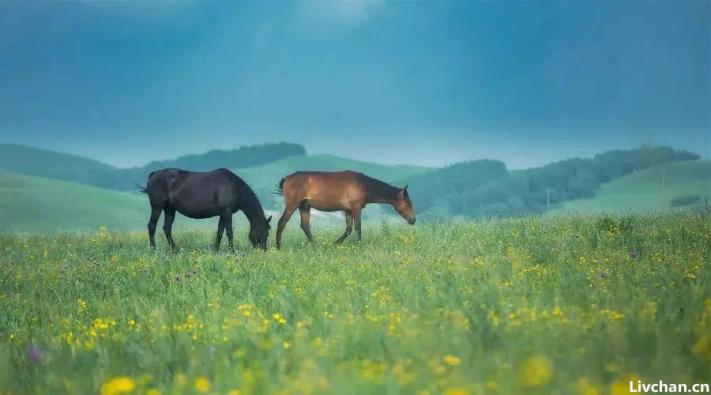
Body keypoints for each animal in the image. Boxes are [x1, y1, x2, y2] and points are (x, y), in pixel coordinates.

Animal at [139, 168, 272, 251]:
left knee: (167, 228)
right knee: (152, 226)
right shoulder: (227, 212)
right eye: (265, 232)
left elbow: (219, 232)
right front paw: (232, 251)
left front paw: (216, 250)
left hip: (170, 209)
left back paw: (174, 249)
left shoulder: (223, 214)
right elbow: (229, 232)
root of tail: (153, 174)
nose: (264, 250)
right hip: (157, 206)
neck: (235, 187)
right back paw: (153, 249)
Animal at [274, 171, 418, 251]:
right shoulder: (356, 208)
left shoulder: (348, 210)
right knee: (282, 222)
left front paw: (334, 244)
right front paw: (359, 245)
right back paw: (278, 247)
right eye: (408, 201)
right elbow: (358, 227)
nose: (413, 219)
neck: (363, 185)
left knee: (305, 226)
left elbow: (348, 229)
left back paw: (316, 246)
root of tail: (287, 178)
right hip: (292, 205)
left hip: (304, 207)